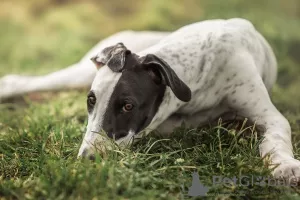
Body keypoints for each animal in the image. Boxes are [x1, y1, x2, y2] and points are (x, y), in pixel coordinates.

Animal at [0, 18, 300, 181]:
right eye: (91, 101)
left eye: (128, 106)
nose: (86, 160)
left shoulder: (266, 113)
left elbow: (278, 134)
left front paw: (285, 165)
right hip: (79, 72)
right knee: (19, 82)